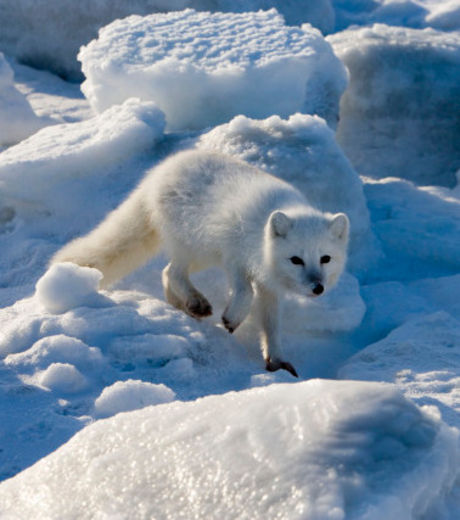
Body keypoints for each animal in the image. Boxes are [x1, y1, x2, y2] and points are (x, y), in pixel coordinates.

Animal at [52, 148, 348, 376]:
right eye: (296, 260)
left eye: (325, 259)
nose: (317, 288)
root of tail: (158, 173)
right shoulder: (234, 257)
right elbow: (245, 292)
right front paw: (231, 319)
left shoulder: (269, 286)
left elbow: (271, 326)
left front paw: (276, 360)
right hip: (197, 246)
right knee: (173, 271)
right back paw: (196, 303)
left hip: (202, 255)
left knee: (166, 273)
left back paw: (181, 306)